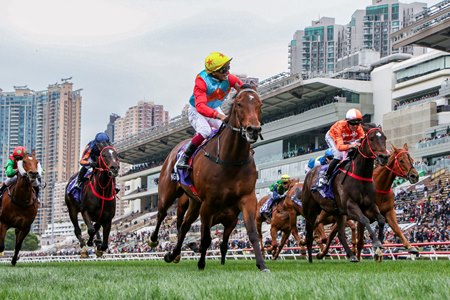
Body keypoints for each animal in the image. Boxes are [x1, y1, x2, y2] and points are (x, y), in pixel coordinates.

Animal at [150, 86, 268, 272]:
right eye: (239, 104)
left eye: (259, 104)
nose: (253, 129)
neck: (230, 159)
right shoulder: (209, 204)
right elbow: (206, 238)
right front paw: (201, 263)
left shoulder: (247, 199)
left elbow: (252, 233)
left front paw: (262, 264)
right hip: (168, 193)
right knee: (162, 214)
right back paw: (154, 240)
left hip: (195, 202)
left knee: (184, 226)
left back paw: (173, 254)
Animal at [302, 124, 390, 262]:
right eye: (371, 139)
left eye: (384, 138)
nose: (384, 157)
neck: (360, 175)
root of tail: (310, 172)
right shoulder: (350, 206)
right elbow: (364, 220)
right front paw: (376, 242)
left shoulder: (369, 205)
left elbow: (381, 219)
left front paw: (379, 245)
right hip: (310, 210)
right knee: (309, 232)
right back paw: (311, 258)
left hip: (339, 213)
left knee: (341, 234)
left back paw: (352, 255)